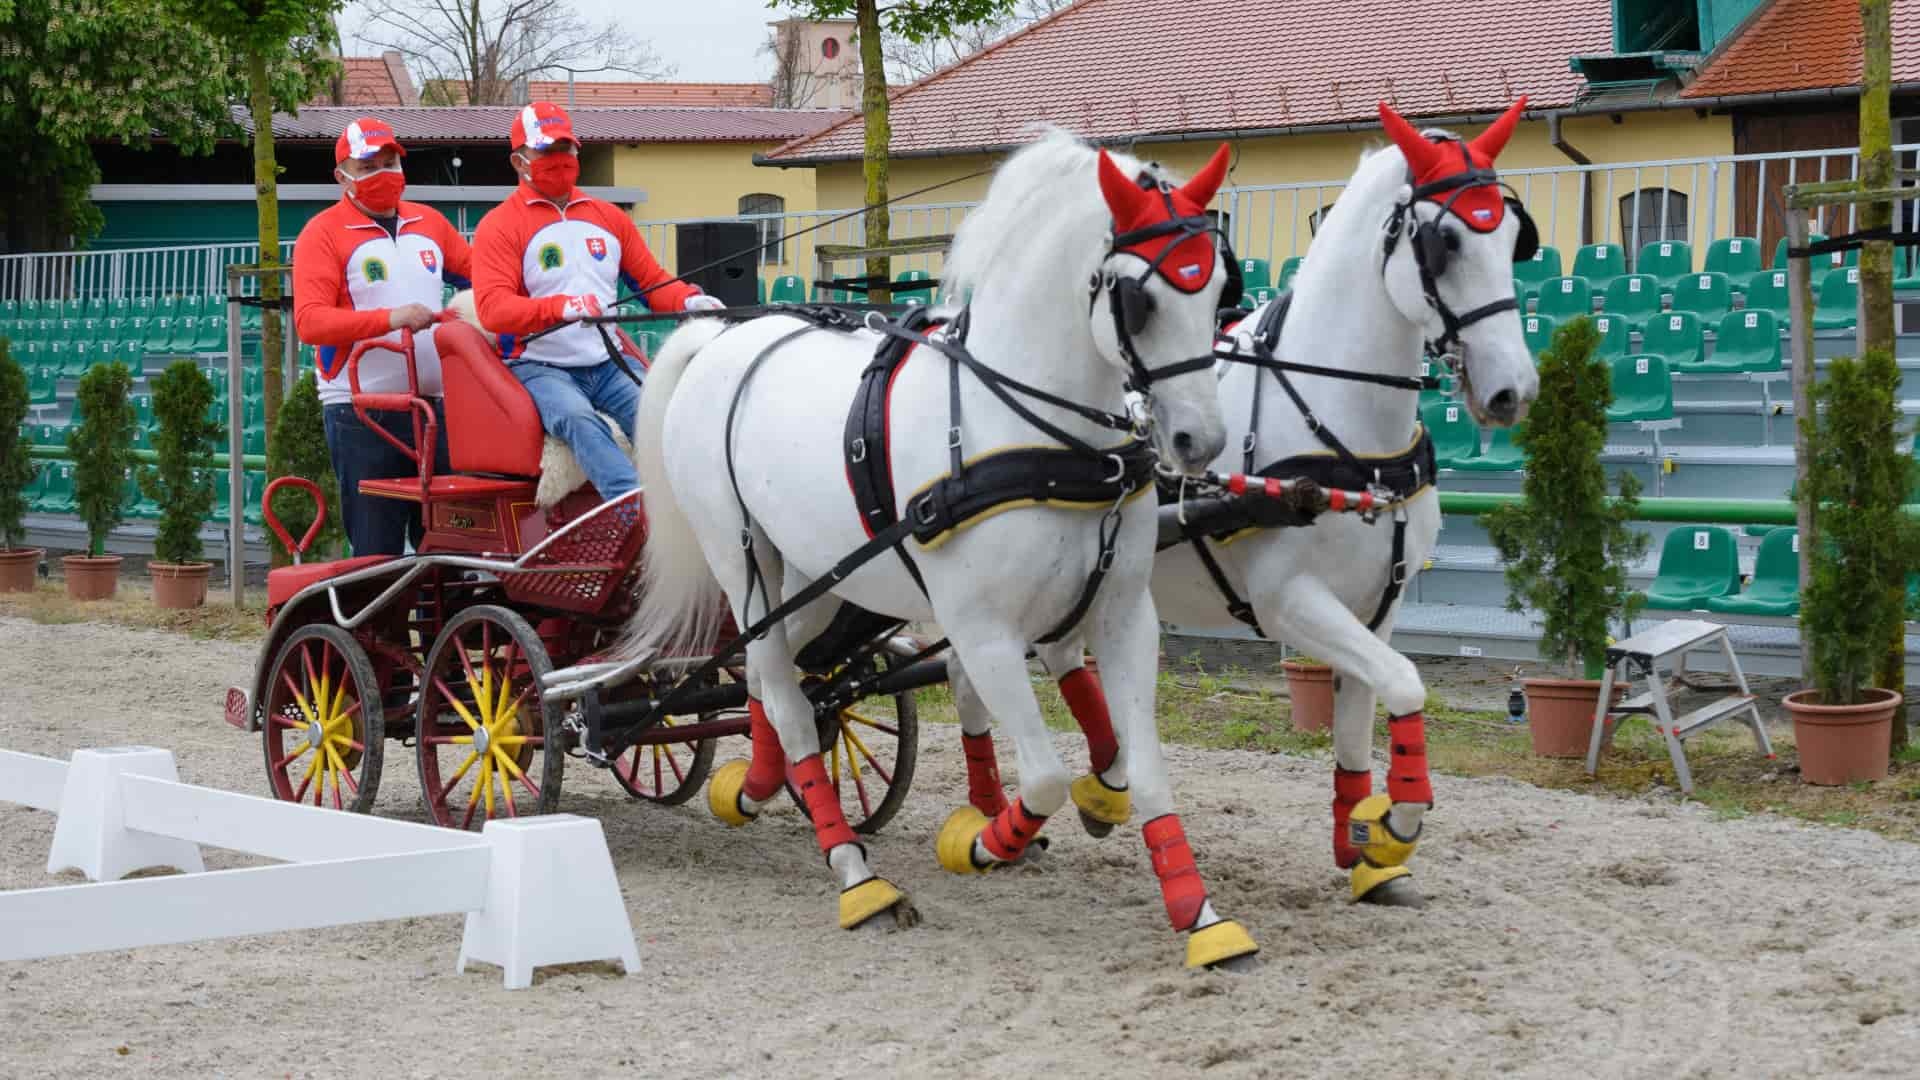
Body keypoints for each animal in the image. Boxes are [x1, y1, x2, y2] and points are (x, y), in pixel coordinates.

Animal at [622, 127, 1267, 968]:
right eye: (1139, 298)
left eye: (1221, 288)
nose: (1200, 441)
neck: (1033, 432)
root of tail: (722, 339)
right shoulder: (981, 629)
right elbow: (1045, 776)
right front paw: (984, 842)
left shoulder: (1124, 615)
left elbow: (1144, 768)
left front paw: (1199, 915)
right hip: (744, 561)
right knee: (783, 691)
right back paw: (857, 877)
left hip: (817, 576)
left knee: (772, 676)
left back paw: (756, 787)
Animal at [952, 100, 1536, 907]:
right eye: (1443, 243)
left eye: (1513, 236)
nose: (1513, 390)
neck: (1343, 425)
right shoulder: (1289, 600)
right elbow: (1405, 682)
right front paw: (1396, 824)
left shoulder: (1375, 609)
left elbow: (1364, 719)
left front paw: (1364, 850)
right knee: (967, 684)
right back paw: (994, 816)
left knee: (1060, 655)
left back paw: (1102, 786)